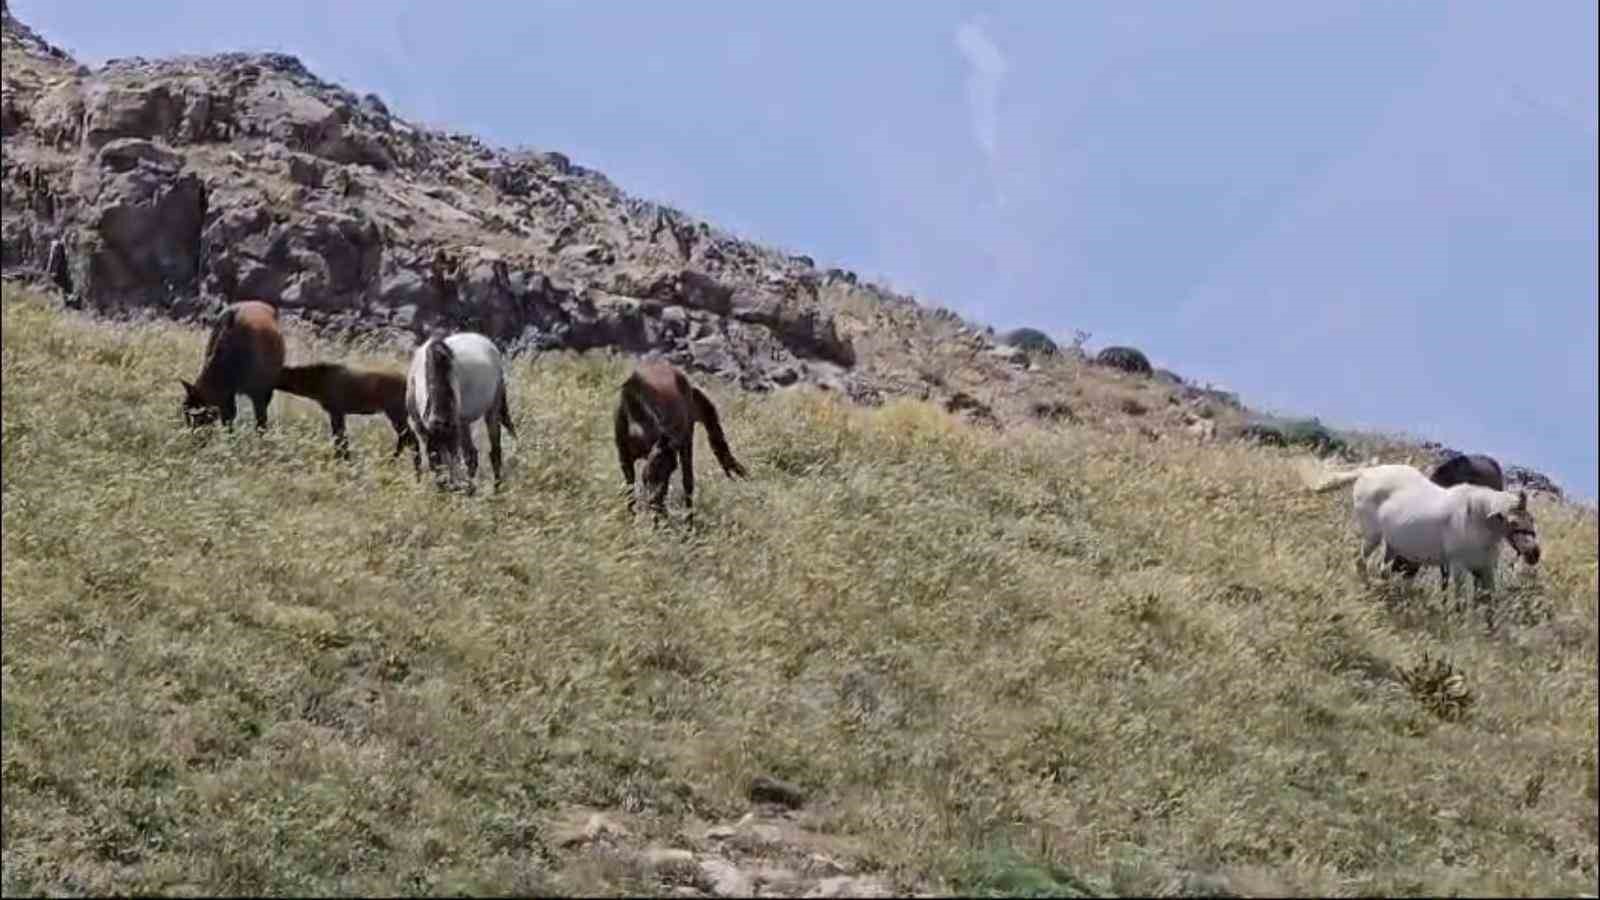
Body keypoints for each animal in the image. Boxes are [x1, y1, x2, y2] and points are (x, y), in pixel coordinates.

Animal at [180, 299, 286, 429]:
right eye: (186, 414)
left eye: (199, 418)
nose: (192, 431)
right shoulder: (227, 393)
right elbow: (229, 416)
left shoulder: (260, 392)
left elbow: (260, 418)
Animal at [278, 360, 422, 461]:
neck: (317, 381)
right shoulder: (338, 412)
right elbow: (342, 441)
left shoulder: (336, 411)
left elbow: (340, 441)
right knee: (407, 440)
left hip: (396, 413)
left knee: (410, 440)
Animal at [403, 331, 515, 490]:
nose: (447, 487)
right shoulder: (423, 428)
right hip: (464, 422)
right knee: (472, 455)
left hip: (491, 410)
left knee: (494, 451)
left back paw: (496, 488)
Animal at [611, 358, 748, 518]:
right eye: (650, 473)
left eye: (671, 469)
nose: (659, 508)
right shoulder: (625, 459)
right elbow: (630, 491)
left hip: (687, 439)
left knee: (688, 483)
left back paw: (689, 521)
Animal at [1305, 454, 1542, 595]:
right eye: (1512, 522)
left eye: (1531, 519)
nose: (1534, 554)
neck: (1475, 517)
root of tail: (1368, 472)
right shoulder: (1458, 566)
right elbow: (1459, 597)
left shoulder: (1484, 569)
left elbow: (1487, 602)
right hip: (1373, 536)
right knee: (1360, 560)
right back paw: (1368, 587)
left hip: (1393, 544)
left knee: (1383, 568)